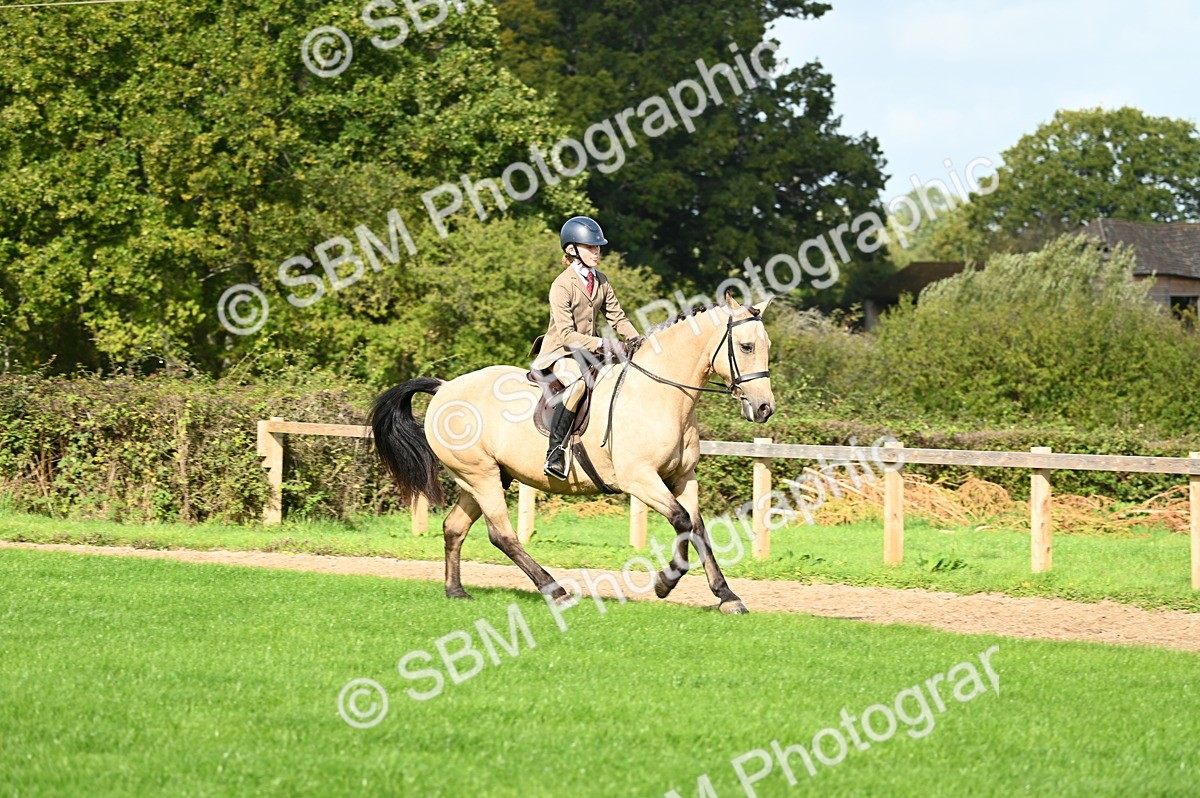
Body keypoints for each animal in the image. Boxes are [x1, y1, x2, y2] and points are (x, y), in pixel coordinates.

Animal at [370, 292, 776, 614]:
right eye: (746, 347)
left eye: (766, 345)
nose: (764, 408)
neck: (661, 393)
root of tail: (444, 388)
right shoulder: (640, 479)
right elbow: (682, 521)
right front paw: (665, 582)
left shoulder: (681, 478)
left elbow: (698, 528)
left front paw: (727, 596)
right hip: (480, 476)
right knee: (502, 535)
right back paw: (556, 591)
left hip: (483, 478)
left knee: (454, 527)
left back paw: (456, 591)